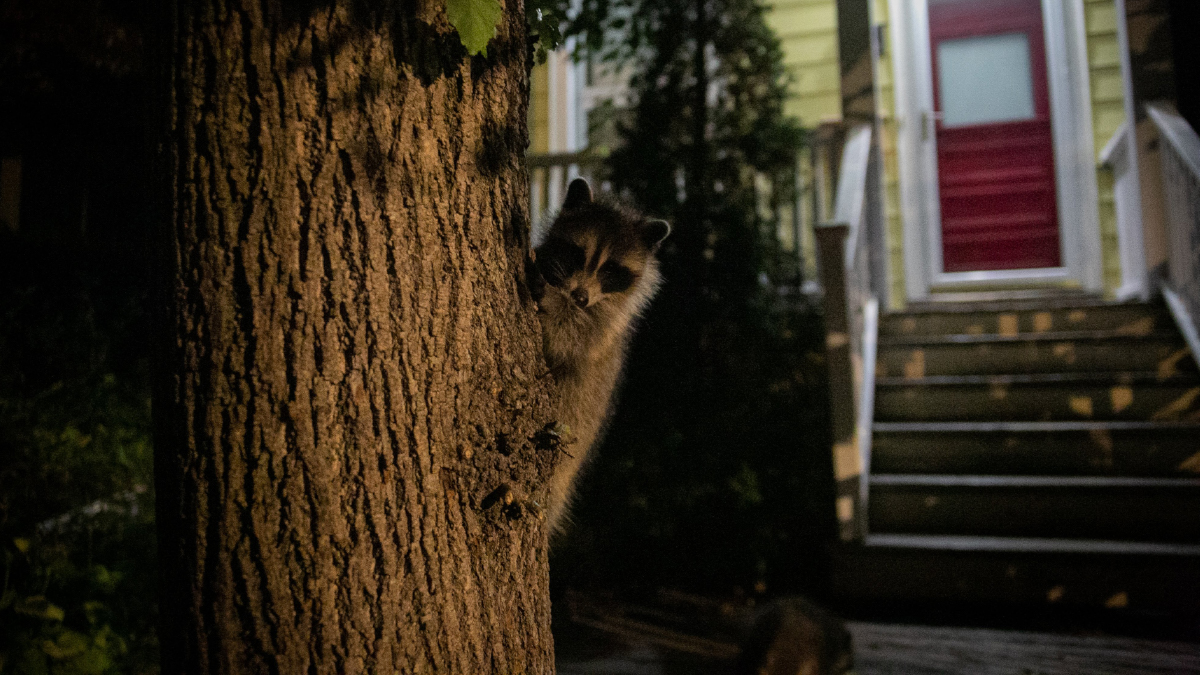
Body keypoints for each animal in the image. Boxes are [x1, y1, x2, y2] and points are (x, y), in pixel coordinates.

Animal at [532, 177, 672, 530]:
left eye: (610, 270)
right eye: (577, 254)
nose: (580, 297)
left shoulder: (606, 326)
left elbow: (568, 335)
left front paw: (552, 301)